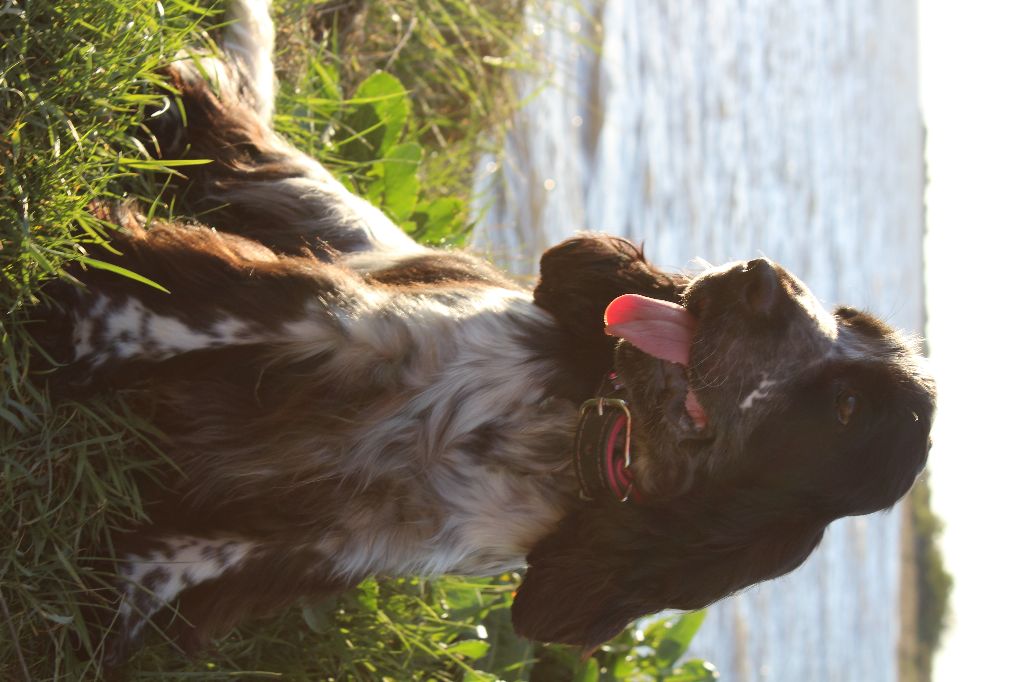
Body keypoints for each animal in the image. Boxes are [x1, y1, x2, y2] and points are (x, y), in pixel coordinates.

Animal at [41, 0, 937, 659]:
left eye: (847, 407)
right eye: (849, 317)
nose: (759, 277)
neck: (555, 440)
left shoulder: (301, 547)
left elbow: (144, 590)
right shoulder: (343, 323)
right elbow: (174, 311)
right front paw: (78, 312)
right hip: (257, 168)